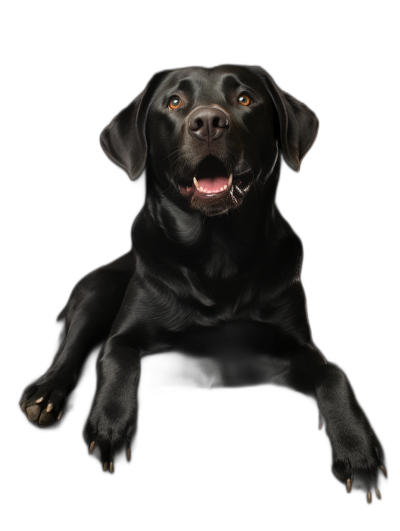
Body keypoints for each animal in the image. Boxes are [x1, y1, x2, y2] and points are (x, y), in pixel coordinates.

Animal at [20, 66, 386, 502]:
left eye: (245, 99)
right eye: (175, 102)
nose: (209, 122)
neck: (217, 258)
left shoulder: (296, 351)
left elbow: (333, 372)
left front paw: (357, 450)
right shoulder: (127, 337)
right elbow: (117, 357)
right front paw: (108, 424)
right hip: (98, 292)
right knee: (69, 352)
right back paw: (46, 396)